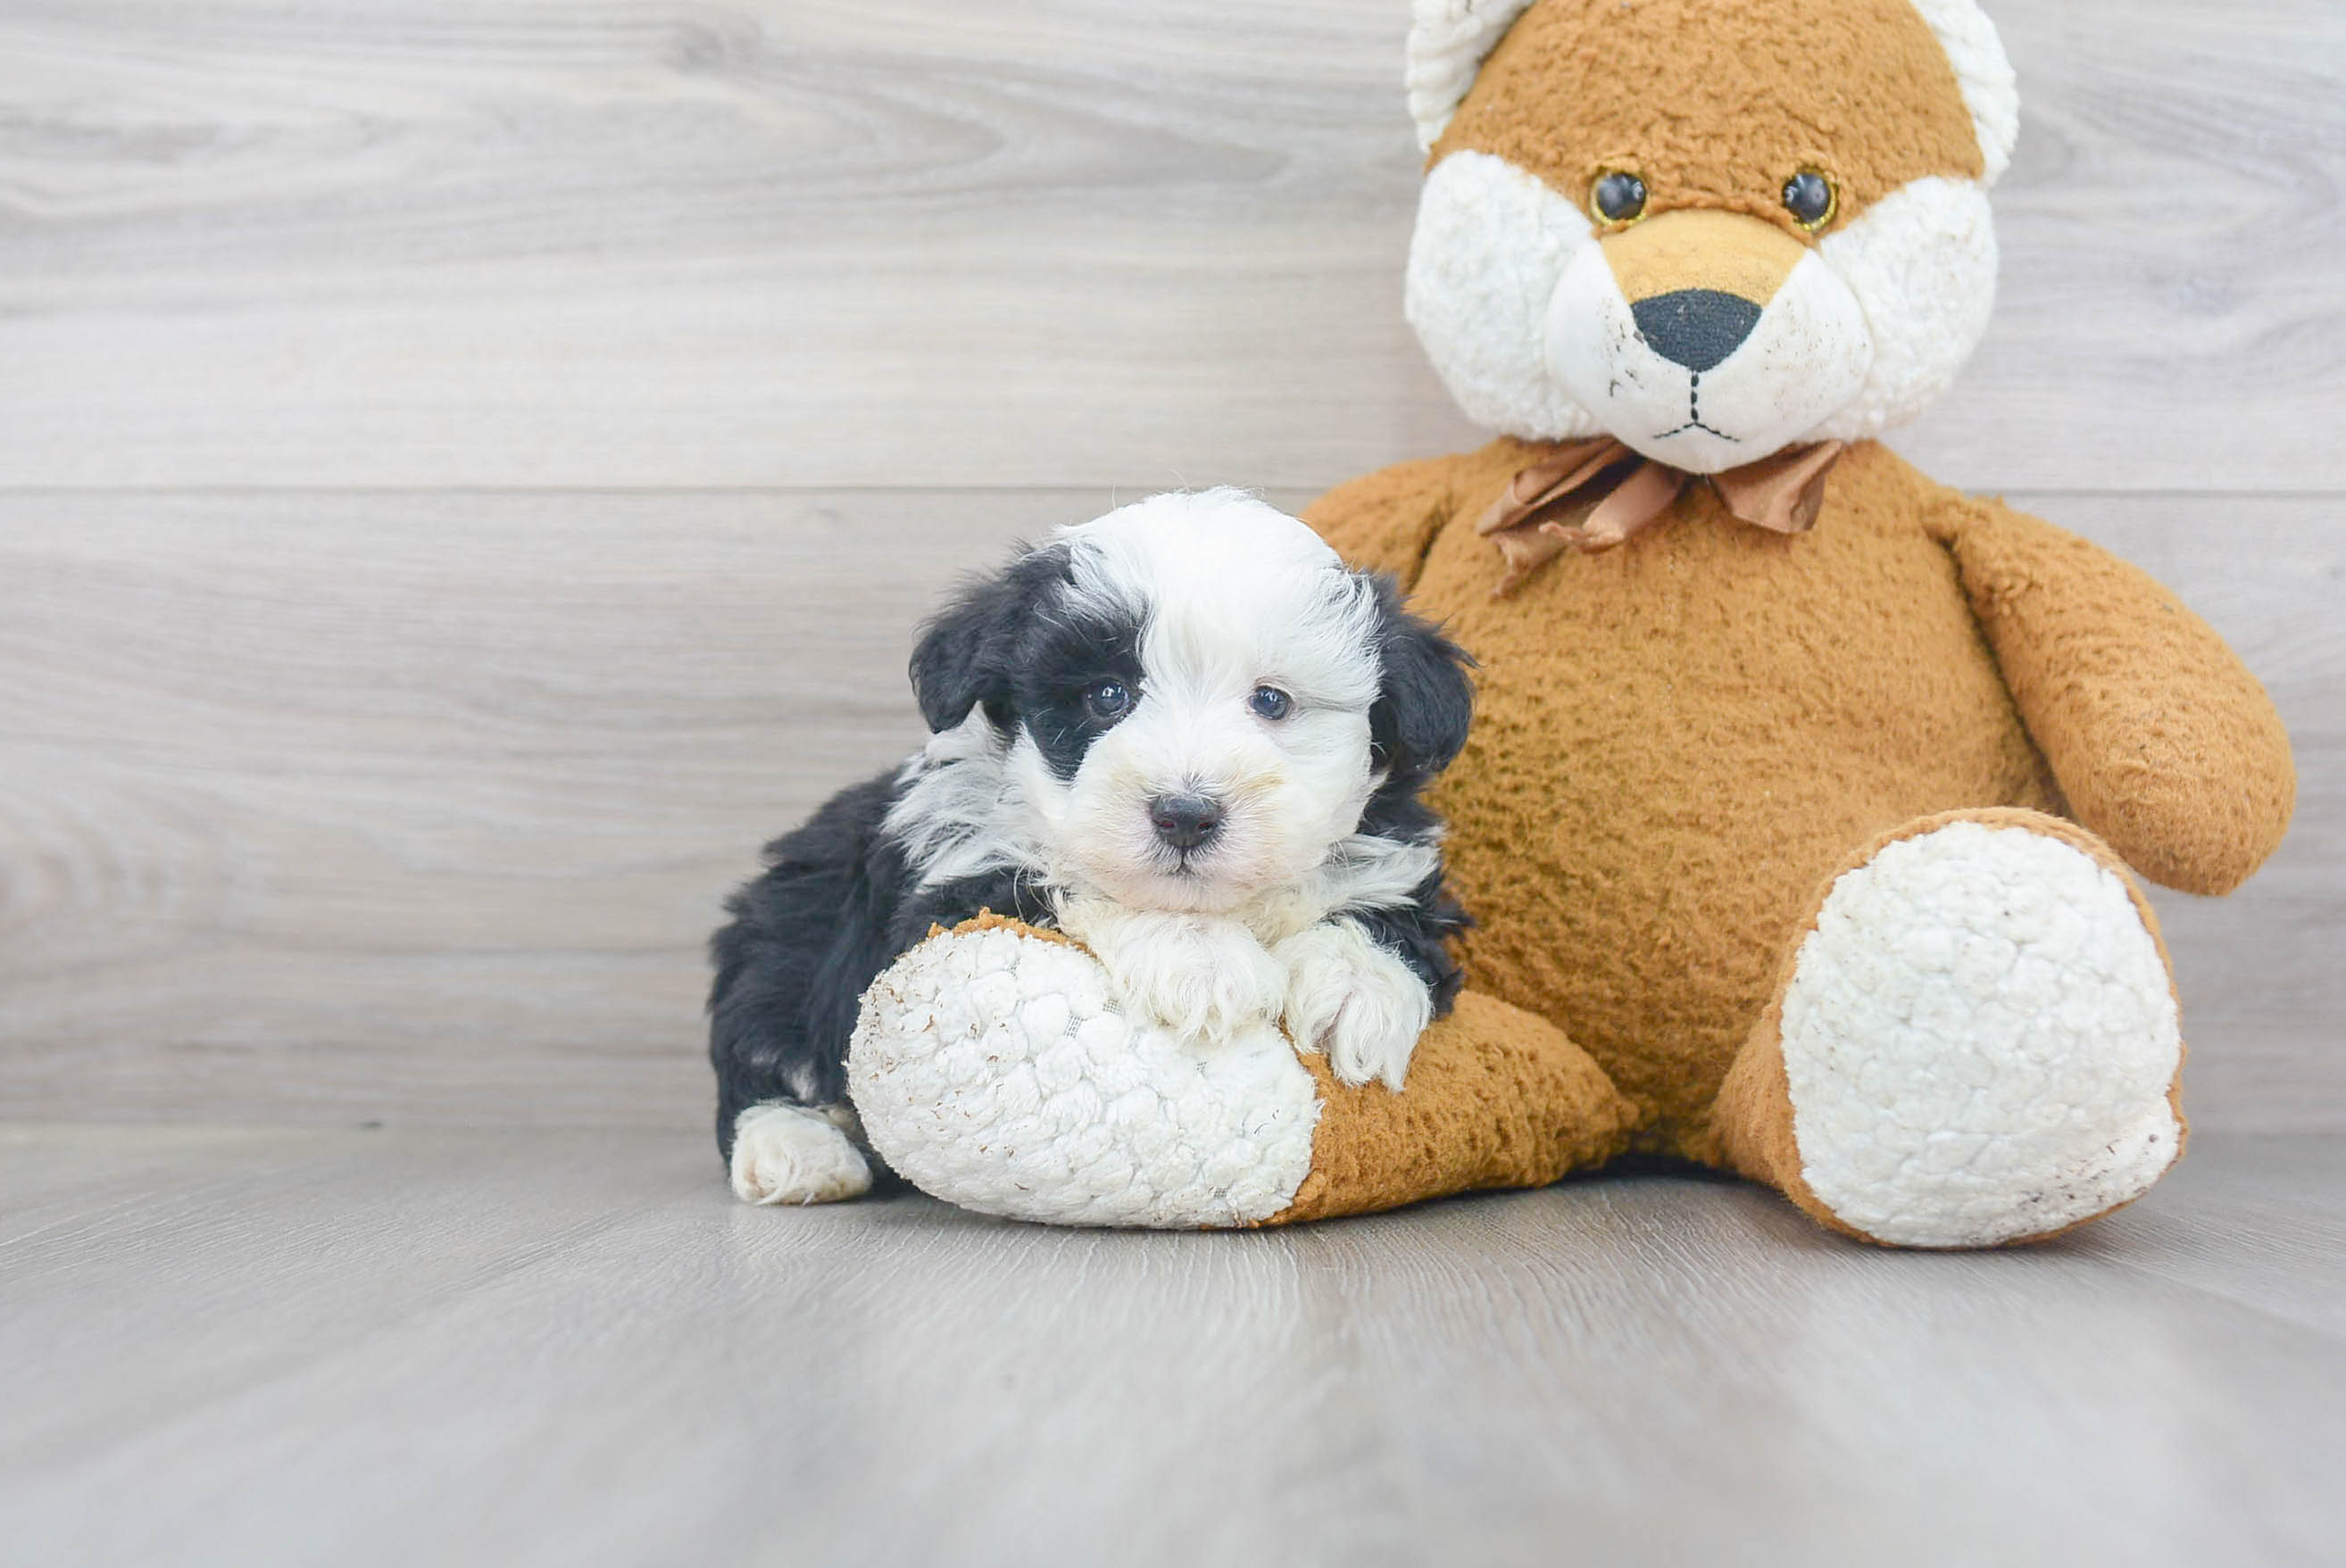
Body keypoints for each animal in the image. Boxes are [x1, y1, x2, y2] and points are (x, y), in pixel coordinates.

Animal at [703, 489, 1473, 1199]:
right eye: (1107, 696)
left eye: (1272, 701)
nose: (1185, 814)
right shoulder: (946, 888)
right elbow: (1061, 879)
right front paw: (1200, 959)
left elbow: (1387, 909)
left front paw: (1355, 987)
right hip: (784, 939)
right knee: (763, 1056)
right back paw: (797, 1150)